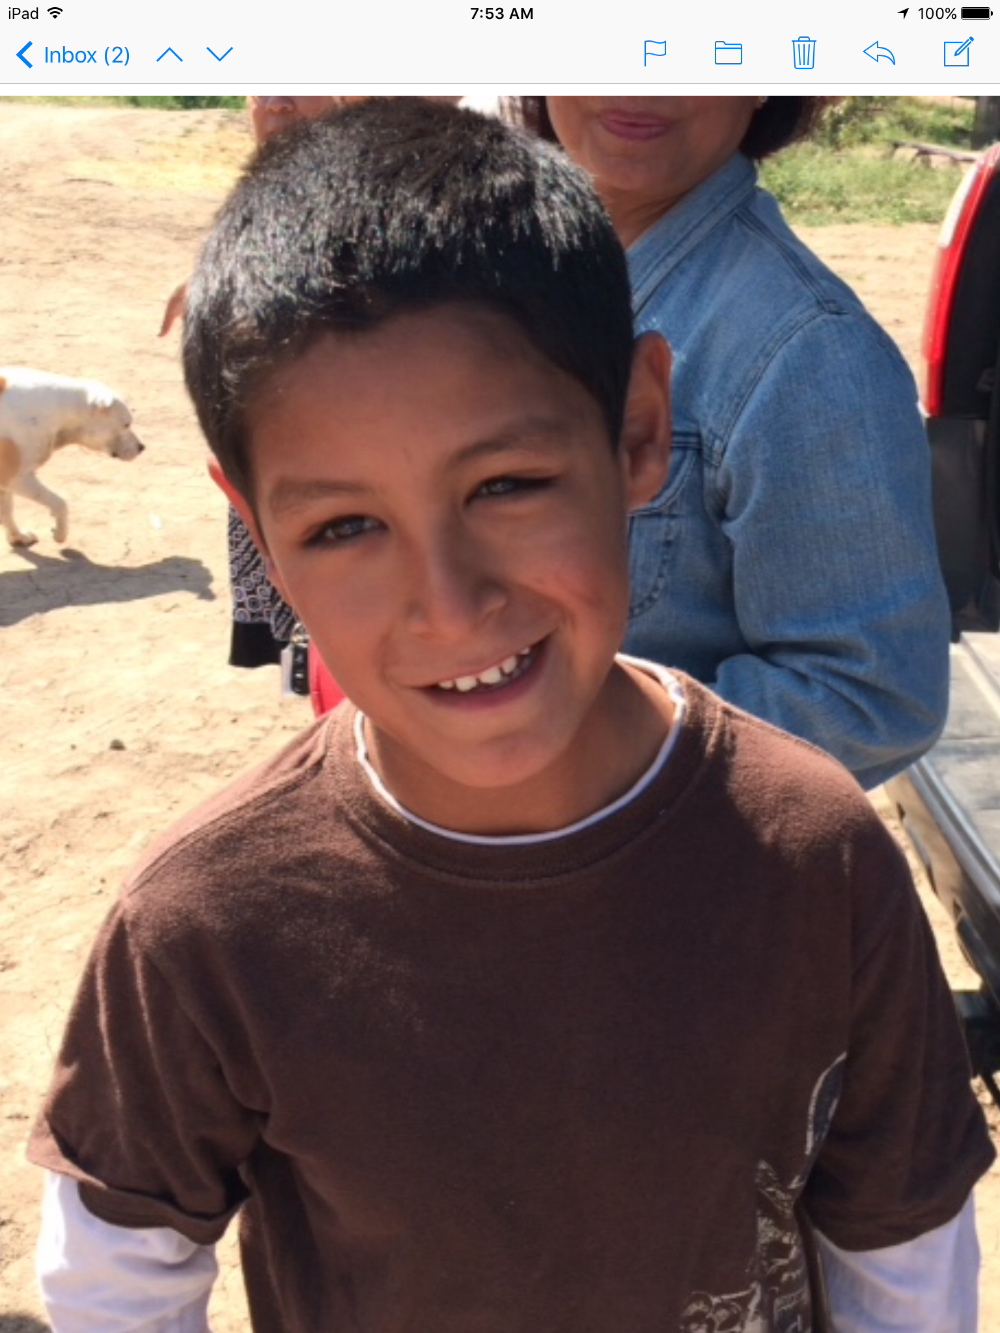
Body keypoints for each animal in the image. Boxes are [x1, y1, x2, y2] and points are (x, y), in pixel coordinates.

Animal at [0, 366, 144, 548]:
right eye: (126, 424)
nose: (141, 448)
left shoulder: (6, 481)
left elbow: (6, 510)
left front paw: (17, 537)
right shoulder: (18, 479)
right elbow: (60, 503)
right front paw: (60, 534)